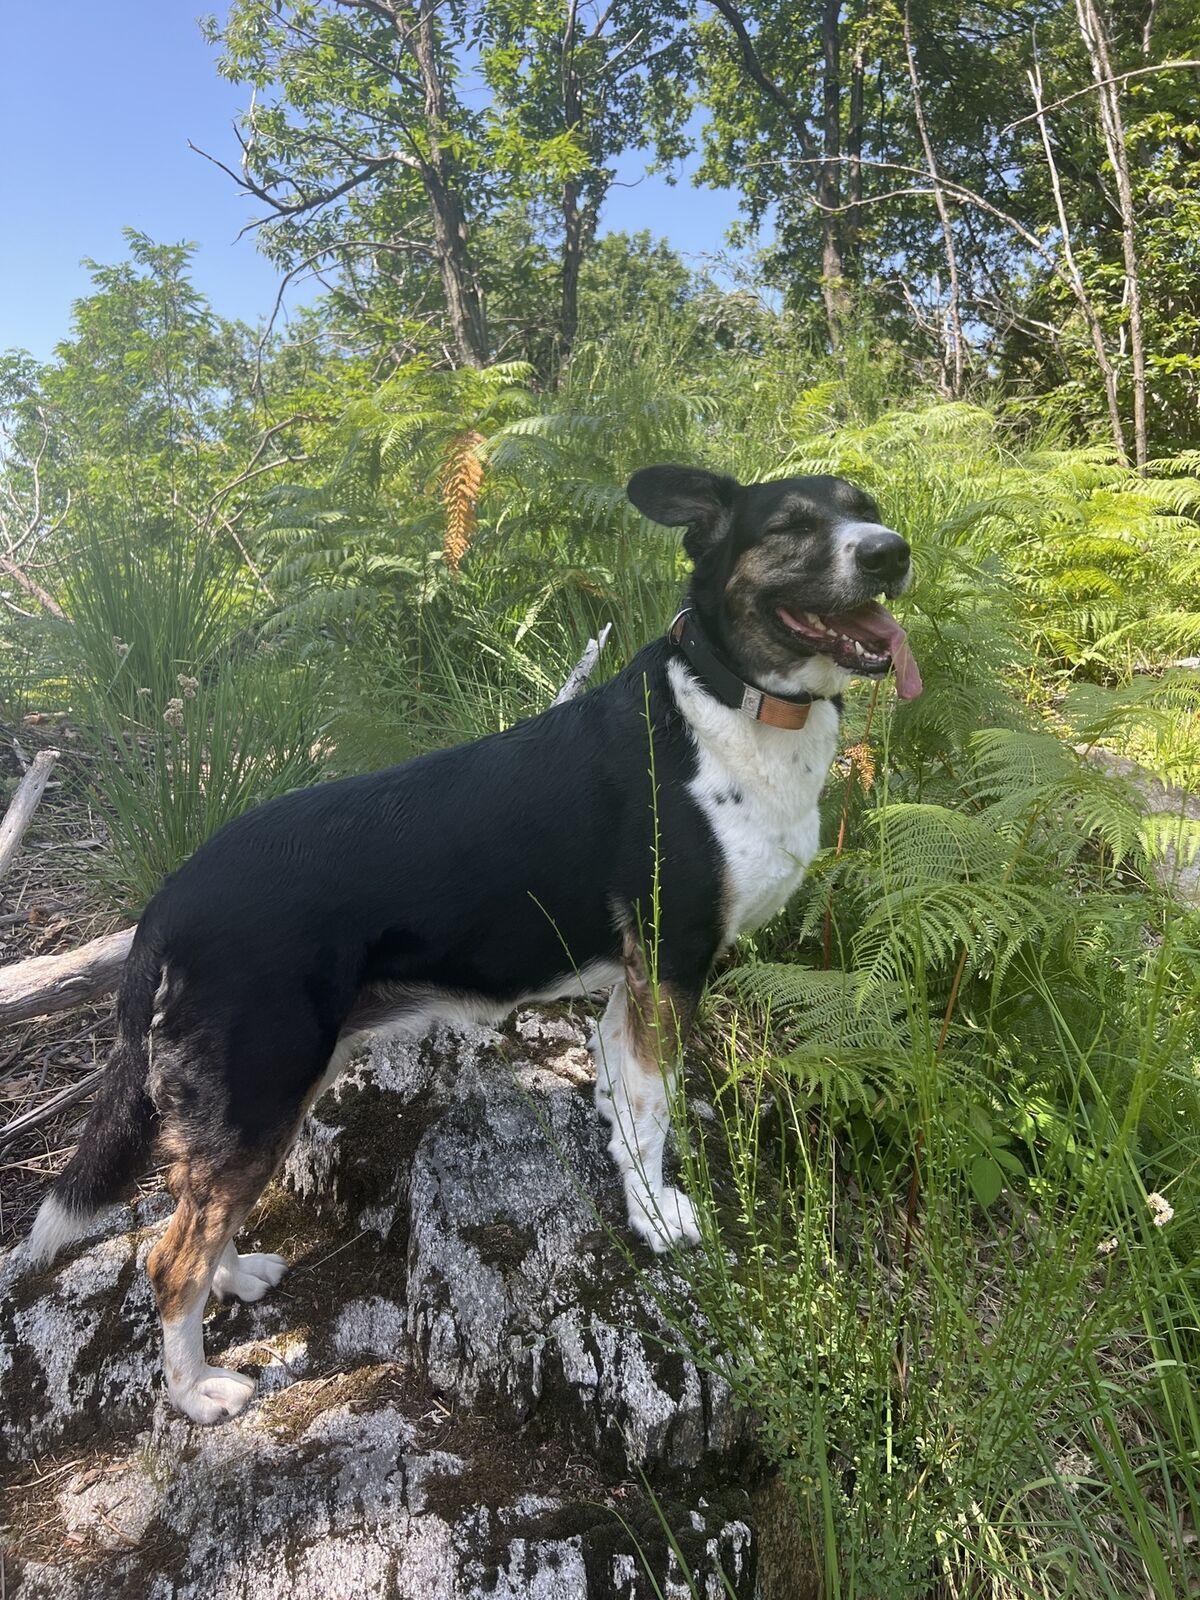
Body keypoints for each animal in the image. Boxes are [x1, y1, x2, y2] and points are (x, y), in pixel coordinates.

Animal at [25, 464, 919, 1425]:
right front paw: (654, 1218)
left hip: (266, 1090)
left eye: (866, 510)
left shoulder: (633, 981)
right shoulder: (672, 965)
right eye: (789, 524)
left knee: (196, 1207)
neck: (729, 702)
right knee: (168, 1258)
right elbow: (652, 1113)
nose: (891, 551)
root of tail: (168, 903)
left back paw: (235, 1276)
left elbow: (621, 1097)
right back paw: (197, 1391)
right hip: (261, 1085)